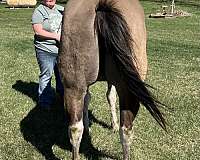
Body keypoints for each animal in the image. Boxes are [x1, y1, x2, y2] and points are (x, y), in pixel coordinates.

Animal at [57, 0, 166, 159]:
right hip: (128, 90)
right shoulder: (113, 83)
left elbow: (88, 99)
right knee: (126, 129)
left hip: (74, 86)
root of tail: (101, 6)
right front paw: (113, 125)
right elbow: (111, 97)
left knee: (75, 128)